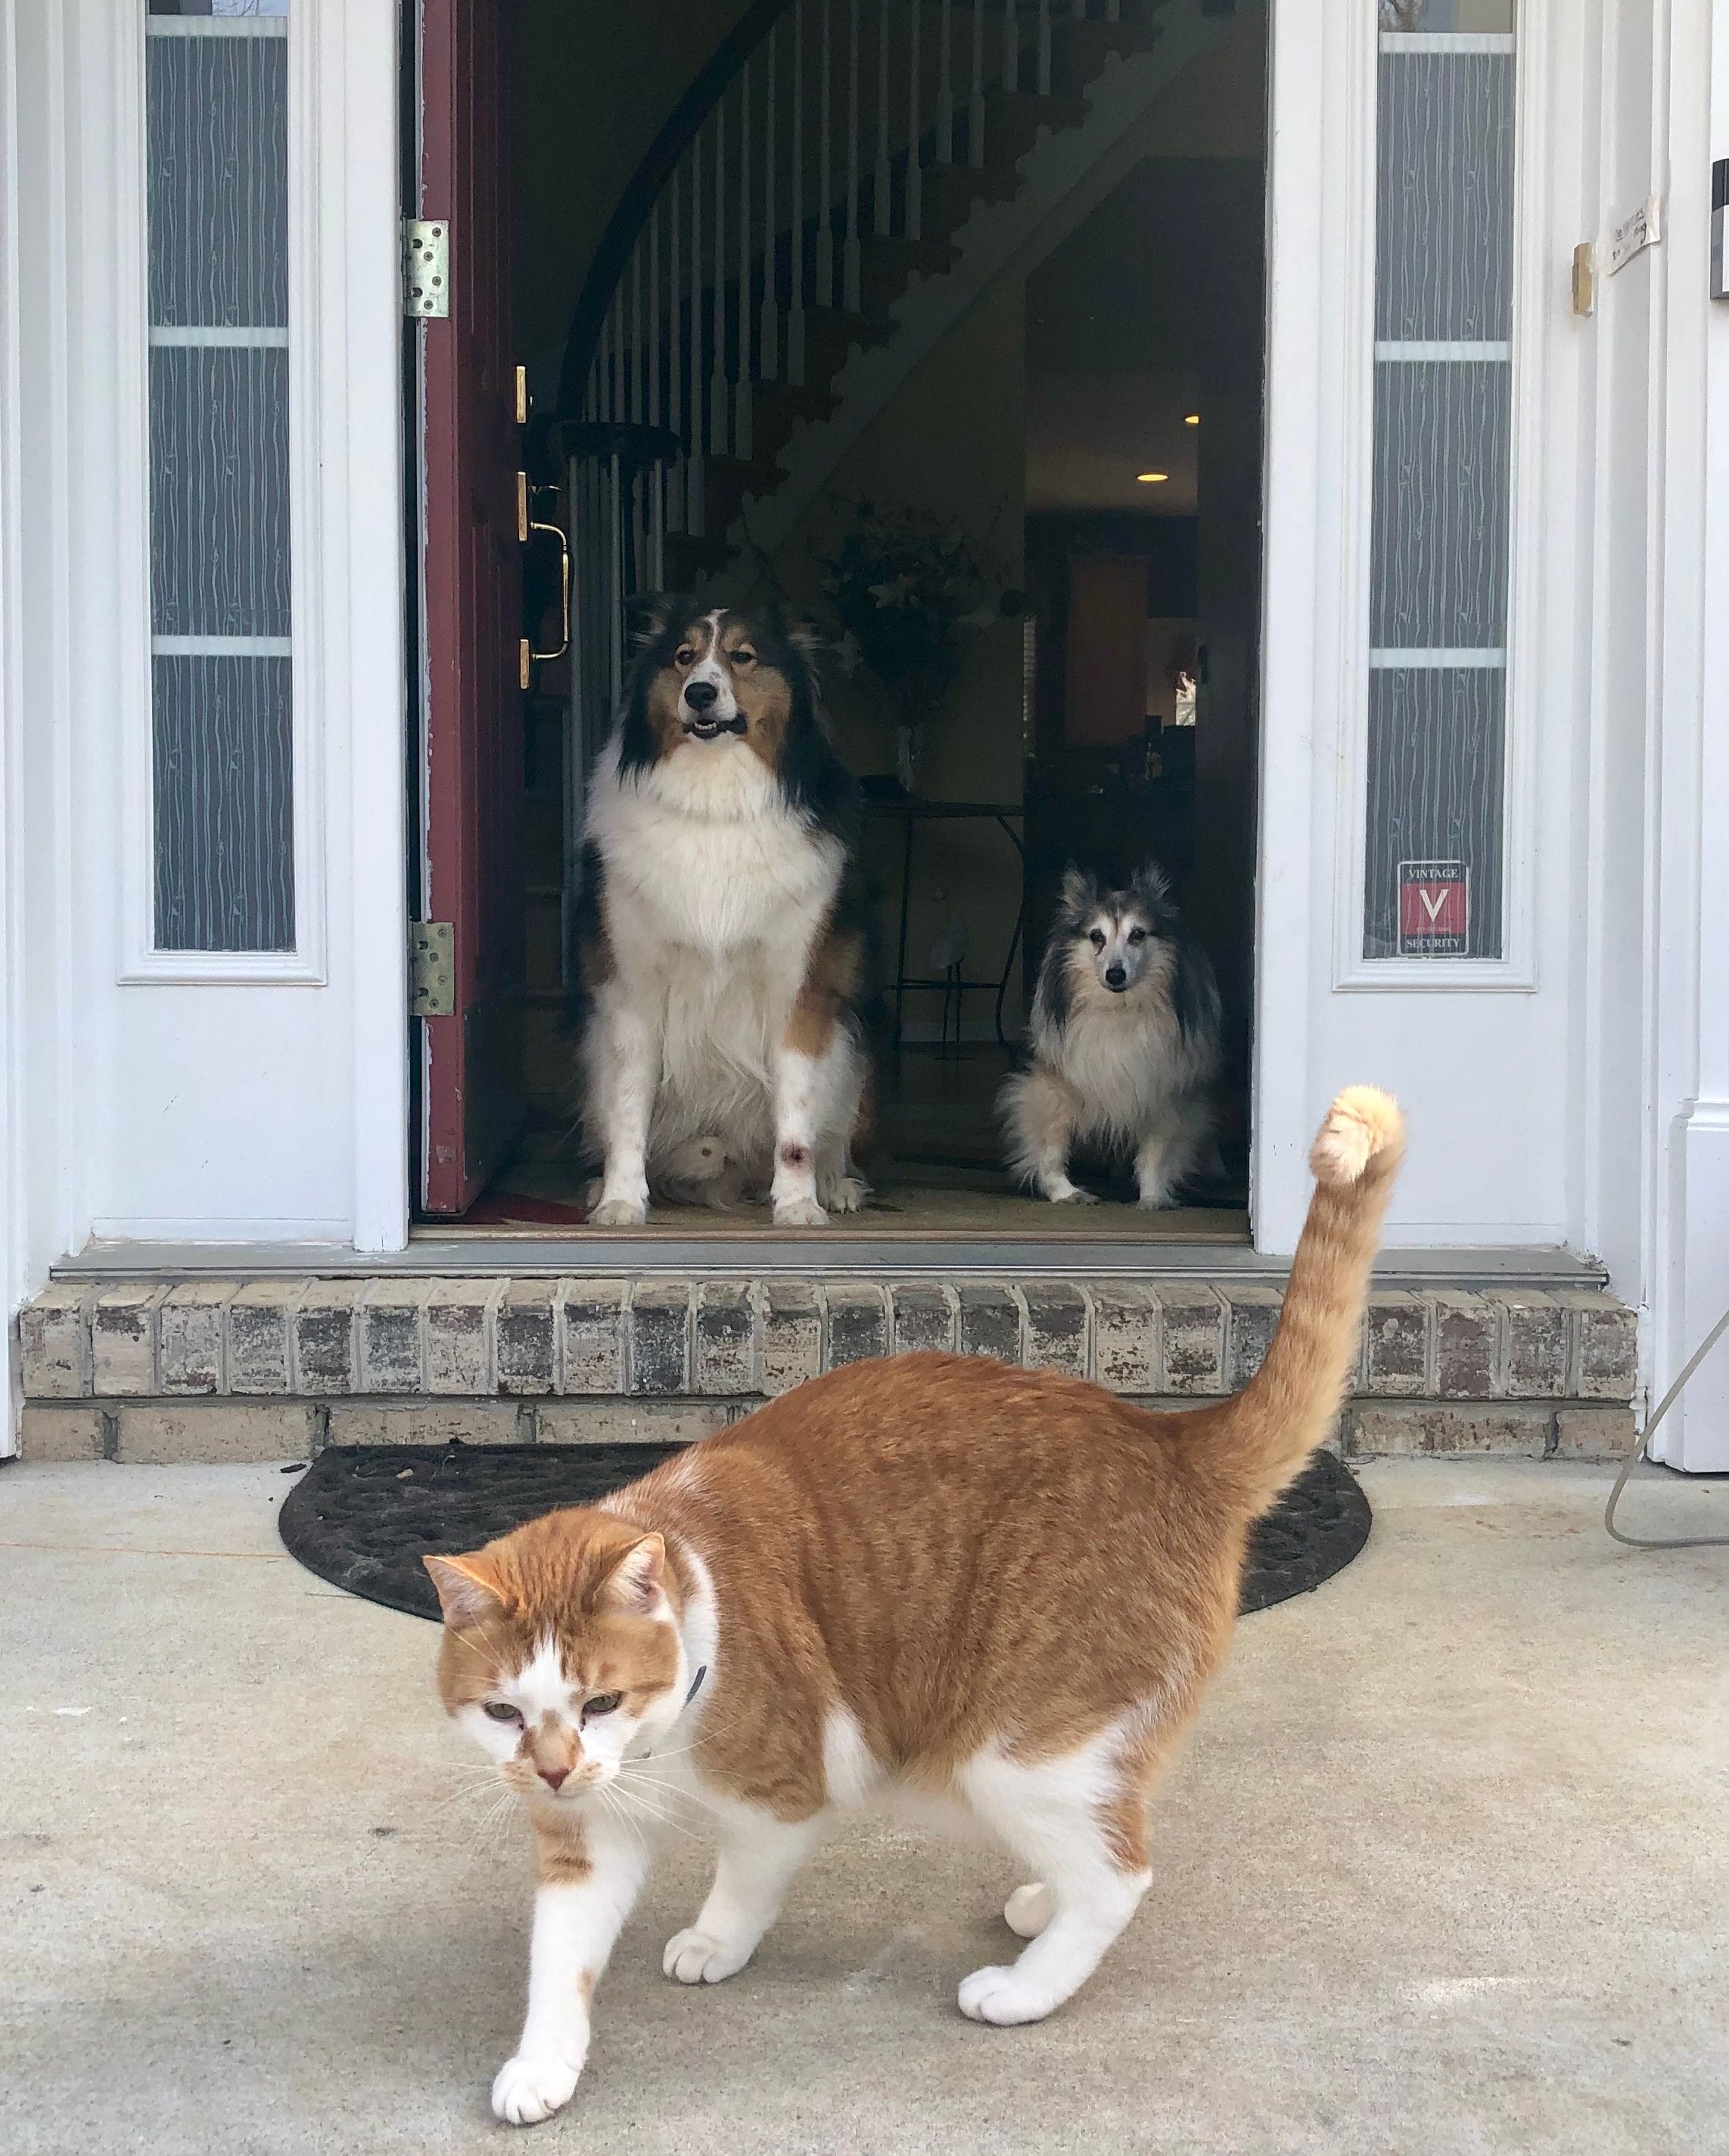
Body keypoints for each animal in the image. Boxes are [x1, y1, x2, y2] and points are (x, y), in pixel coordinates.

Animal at [427, 1086, 1397, 2113]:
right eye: (504, 1713)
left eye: (601, 1700)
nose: (552, 1772)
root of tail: (1167, 1440)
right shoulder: (588, 1837)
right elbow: (559, 1961)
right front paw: (542, 2065)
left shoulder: (781, 1801)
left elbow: (743, 1882)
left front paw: (715, 1943)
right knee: (1112, 1826)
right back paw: (1042, 1900)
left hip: (1015, 1752)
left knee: (1120, 1877)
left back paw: (1023, 1988)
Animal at [991, 862, 1215, 1207]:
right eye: (1096, 936)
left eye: (1138, 934)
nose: (1115, 975)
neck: (1118, 1010)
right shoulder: (1051, 1086)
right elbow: (1050, 1147)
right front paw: (1065, 1192)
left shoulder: (1165, 1093)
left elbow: (1157, 1153)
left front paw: (1152, 1199)